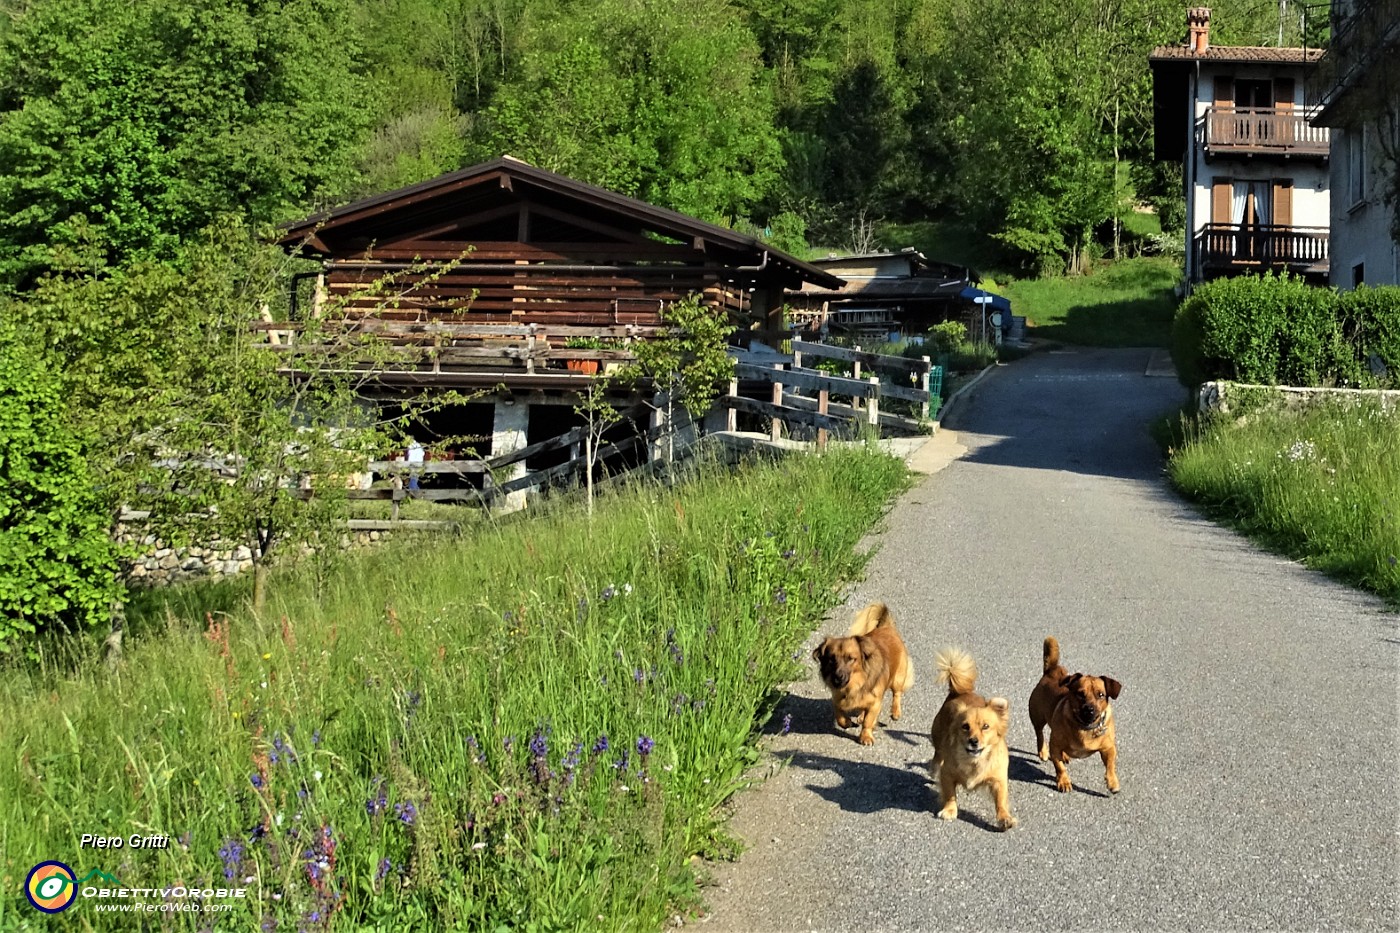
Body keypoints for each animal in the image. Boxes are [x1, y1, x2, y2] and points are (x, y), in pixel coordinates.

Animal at [812, 602, 918, 739]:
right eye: (831, 659)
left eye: (851, 659)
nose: (838, 677)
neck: (854, 685)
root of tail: (886, 627)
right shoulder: (837, 698)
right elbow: (839, 715)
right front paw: (847, 723)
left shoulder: (875, 702)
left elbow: (869, 721)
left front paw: (865, 737)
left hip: (898, 679)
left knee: (897, 694)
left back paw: (895, 712)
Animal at [929, 647, 1019, 829]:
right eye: (965, 727)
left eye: (985, 727)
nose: (973, 741)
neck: (974, 761)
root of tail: (957, 692)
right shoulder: (947, 773)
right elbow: (949, 793)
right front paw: (949, 810)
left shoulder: (998, 780)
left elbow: (1001, 800)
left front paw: (1004, 818)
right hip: (937, 737)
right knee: (937, 754)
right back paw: (933, 770)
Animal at [1030, 633, 1125, 790]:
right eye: (1080, 694)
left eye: (1101, 695)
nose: (1089, 709)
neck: (1085, 727)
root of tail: (1051, 672)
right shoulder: (1054, 747)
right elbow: (1059, 767)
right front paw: (1063, 781)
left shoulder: (1108, 748)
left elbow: (1110, 765)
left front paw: (1112, 782)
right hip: (1037, 717)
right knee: (1039, 734)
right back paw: (1043, 751)